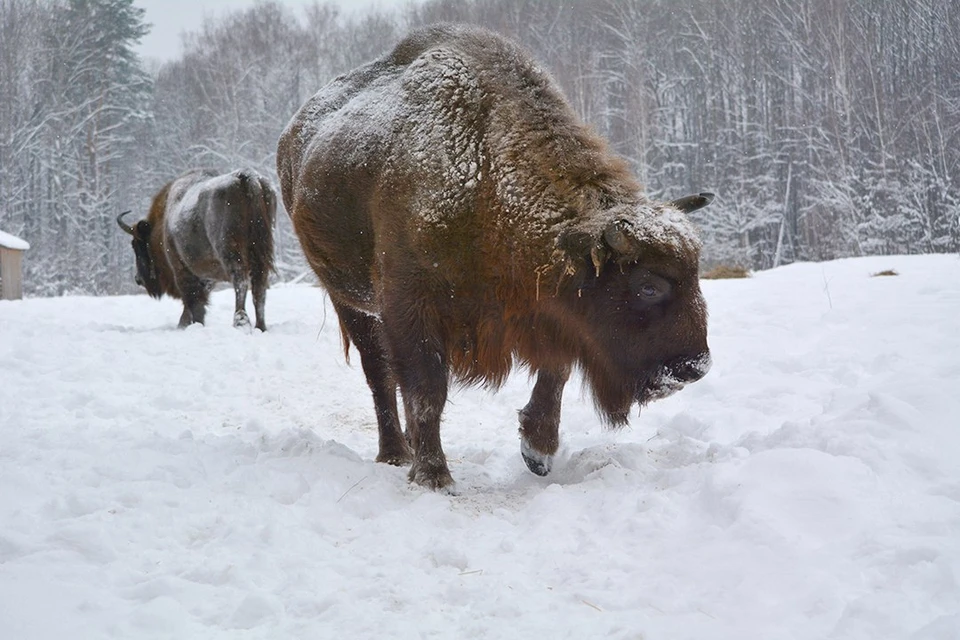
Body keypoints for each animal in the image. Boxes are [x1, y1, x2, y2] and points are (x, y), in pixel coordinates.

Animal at [117, 168, 278, 332]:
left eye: (136, 245)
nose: (138, 279)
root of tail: (246, 178)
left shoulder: (182, 271)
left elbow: (193, 301)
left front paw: (188, 324)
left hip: (231, 253)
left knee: (241, 281)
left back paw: (241, 322)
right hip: (261, 253)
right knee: (259, 287)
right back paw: (261, 326)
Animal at [278, 21, 712, 490]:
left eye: (695, 275)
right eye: (648, 286)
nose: (694, 367)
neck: (485, 172)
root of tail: (293, 136)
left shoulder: (547, 309)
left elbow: (556, 370)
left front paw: (538, 452)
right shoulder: (409, 305)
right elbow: (426, 389)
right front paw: (433, 476)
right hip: (348, 299)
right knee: (378, 373)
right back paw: (395, 454)